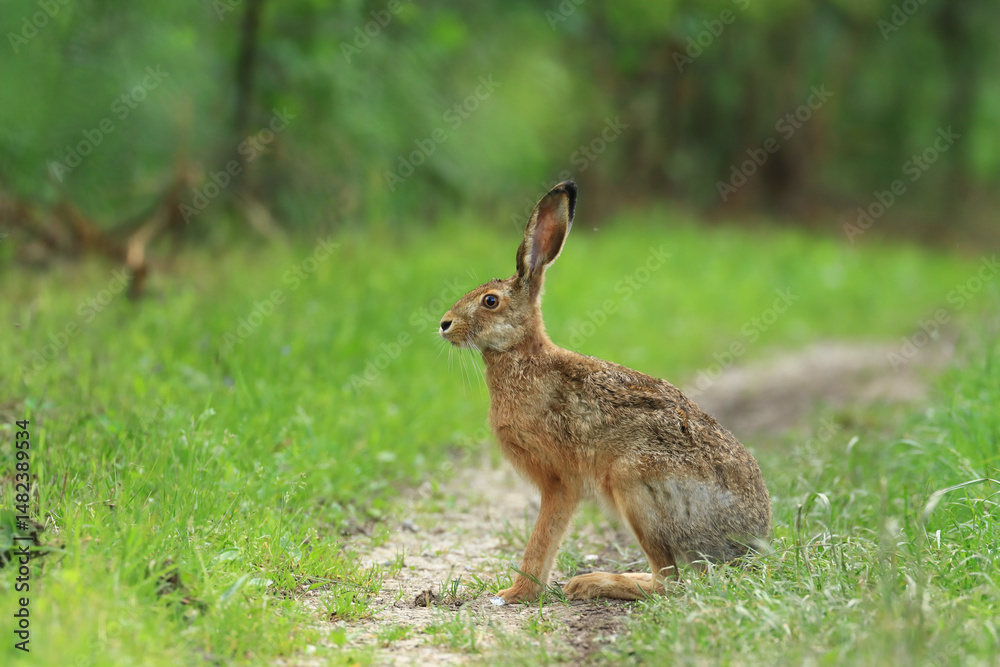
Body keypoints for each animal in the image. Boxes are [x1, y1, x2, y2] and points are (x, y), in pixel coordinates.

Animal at [438, 181, 771, 603]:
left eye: (490, 301)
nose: (445, 324)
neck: (521, 356)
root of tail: (748, 544)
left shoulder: (560, 480)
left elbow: (543, 536)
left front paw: (516, 593)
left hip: (633, 483)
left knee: (668, 581)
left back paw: (592, 583)